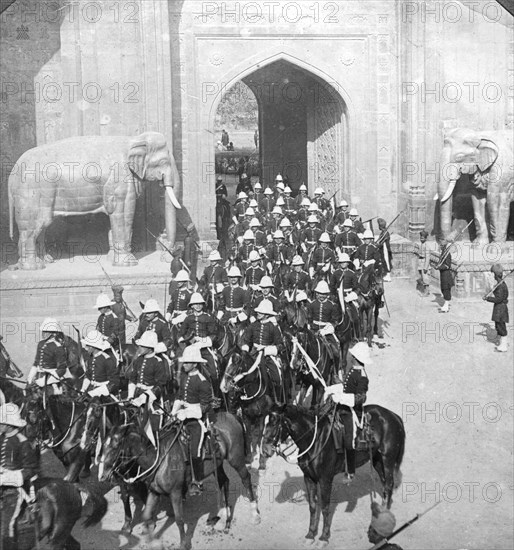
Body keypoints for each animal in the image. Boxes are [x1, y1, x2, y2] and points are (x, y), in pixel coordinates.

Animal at [98, 414, 260, 550]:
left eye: (115, 445)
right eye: (103, 445)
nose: (102, 475)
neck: (158, 457)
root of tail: (231, 415)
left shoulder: (175, 493)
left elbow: (179, 519)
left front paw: (183, 544)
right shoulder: (154, 491)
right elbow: (146, 515)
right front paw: (153, 541)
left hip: (236, 460)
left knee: (246, 479)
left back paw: (255, 515)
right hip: (217, 465)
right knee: (224, 482)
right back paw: (223, 521)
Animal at [264, 404, 404, 548]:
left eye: (274, 423)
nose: (265, 450)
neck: (316, 440)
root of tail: (394, 416)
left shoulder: (325, 480)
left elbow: (325, 508)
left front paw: (324, 538)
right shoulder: (309, 478)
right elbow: (313, 506)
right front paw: (310, 535)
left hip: (387, 460)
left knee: (388, 486)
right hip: (377, 461)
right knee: (385, 488)